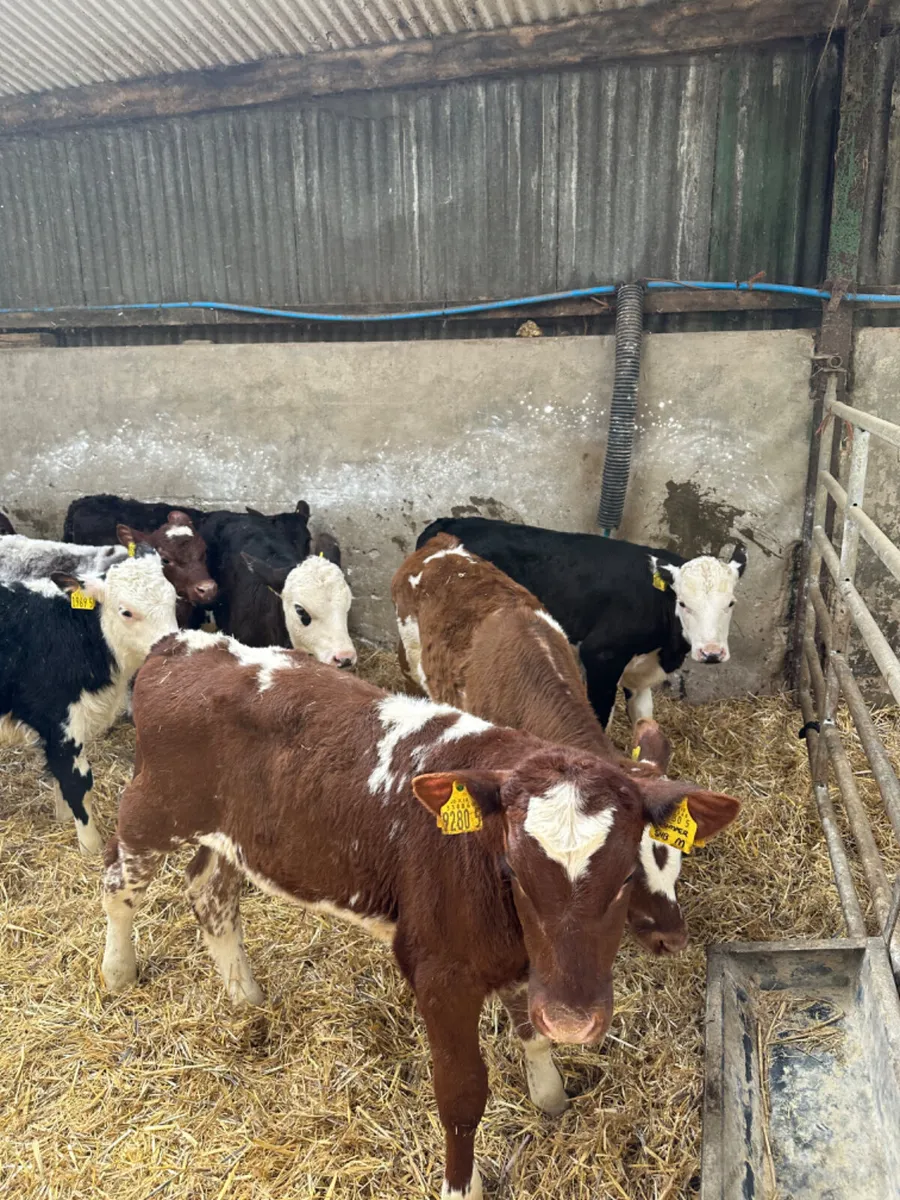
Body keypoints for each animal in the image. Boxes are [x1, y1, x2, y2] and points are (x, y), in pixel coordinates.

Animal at [0, 549, 177, 854]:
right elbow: (77, 782)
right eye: (126, 612)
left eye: (175, 598)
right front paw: (90, 846)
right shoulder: (60, 723)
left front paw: (61, 820)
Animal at [100, 633, 740, 1199]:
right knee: (117, 887)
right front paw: (463, 1186)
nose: (576, 1020)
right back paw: (117, 972)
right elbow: (460, 1095)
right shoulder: (438, 972)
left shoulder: (528, 968)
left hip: (232, 837)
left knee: (210, 892)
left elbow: (532, 1032)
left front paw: (552, 1097)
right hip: (149, 811)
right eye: (512, 869)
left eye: (630, 872)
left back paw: (246, 997)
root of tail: (180, 644)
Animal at [416, 516, 747, 729]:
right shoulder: (601, 656)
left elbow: (643, 719)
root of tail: (448, 523)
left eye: (731, 603)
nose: (712, 653)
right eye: (683, 603)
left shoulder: (638, 672)